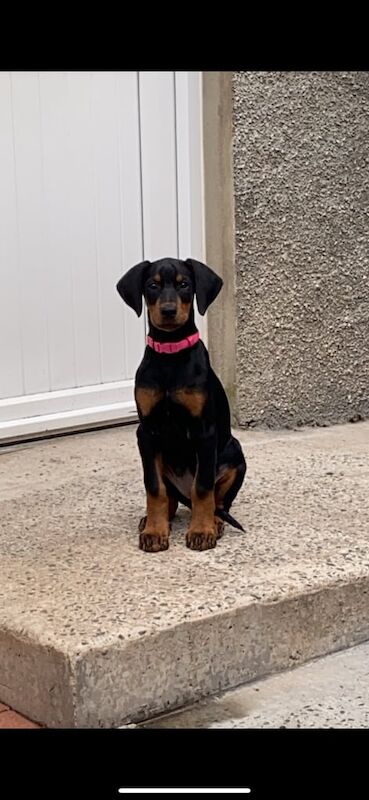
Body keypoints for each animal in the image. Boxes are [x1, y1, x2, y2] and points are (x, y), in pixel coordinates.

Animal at [116, 256, 246, 552]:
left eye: (184, 284)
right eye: (152, 285)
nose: (168, 310)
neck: (170, 354)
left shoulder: (204, 431)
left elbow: (203, 487)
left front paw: (201, 531)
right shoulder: (147, 432)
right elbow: (154, 487)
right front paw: (155, 531)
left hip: (234, 454)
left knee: (217, 500)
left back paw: (215, 521)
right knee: (171, 498)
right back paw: (156, 518)